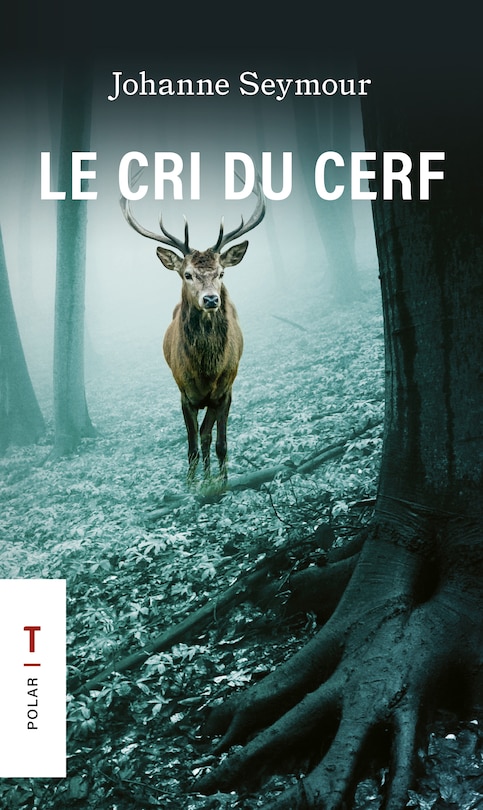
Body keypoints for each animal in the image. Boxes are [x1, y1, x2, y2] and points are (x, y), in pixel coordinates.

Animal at [120, 177, 266, 484]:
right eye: (187, 274)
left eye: (221, 272)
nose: (211, 299)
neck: (206, 371)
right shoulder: (183, 394)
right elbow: (192, 446)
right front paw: (191, 484)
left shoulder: (225, 391)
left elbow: (217, 441)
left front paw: (219, 483)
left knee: (210, 436)